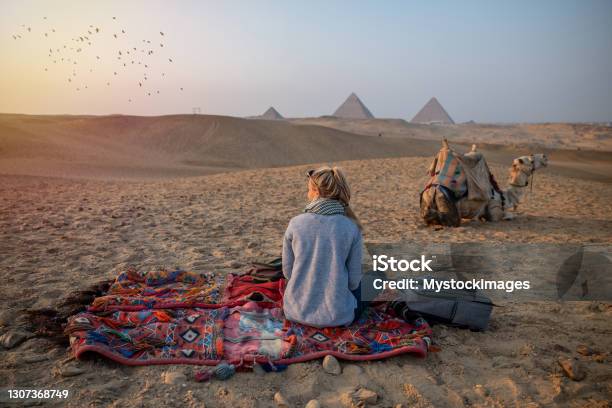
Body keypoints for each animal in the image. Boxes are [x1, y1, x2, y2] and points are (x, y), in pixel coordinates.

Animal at [418, 140, 548, 226]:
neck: (503, 197)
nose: (544, 156)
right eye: (531, 160)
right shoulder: (494, 211)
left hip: (427, 198)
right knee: (452, 219)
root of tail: (432, 189)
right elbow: (509, 215)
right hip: (443, 198)